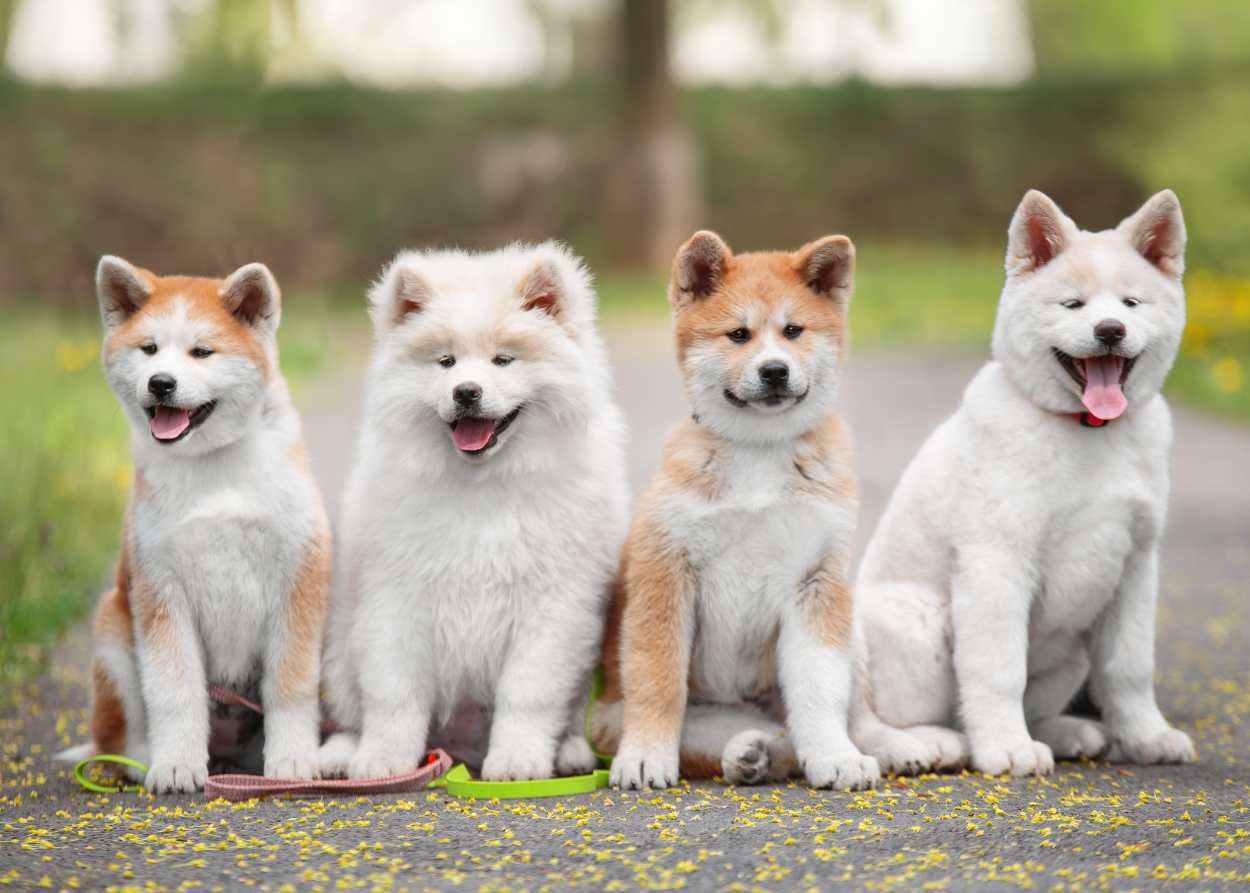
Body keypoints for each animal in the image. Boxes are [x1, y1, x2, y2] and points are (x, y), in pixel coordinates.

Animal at [86, 257, 332, 795]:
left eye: (201, 351)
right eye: (149, 349)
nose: (161, 382)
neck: (213, 466)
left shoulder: (297, 581)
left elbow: (289, 686)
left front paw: (293, 760)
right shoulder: (160, 591)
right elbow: (175, 690)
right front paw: (176, 764)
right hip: (113, 631)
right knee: (116, 739)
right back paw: (143, 761)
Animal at [317, 240, 630, 775]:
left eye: (503, 360)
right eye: (445, 362)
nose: (467, 391)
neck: (483, 481)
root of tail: (459, 748)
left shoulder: (553, 608)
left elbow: (527, 694)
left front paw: (518, 762)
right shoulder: (395, 599)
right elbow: (394, 695)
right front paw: (383, 760)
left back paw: (567, 753)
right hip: (340, 648)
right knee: (350, 716)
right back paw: (341, 754)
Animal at [592, 227, 880, 785]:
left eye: (793, 331)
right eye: (738, 335)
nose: (774, 371)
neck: (758, 453)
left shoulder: (817, 583)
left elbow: (820, 694)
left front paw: (834, 756)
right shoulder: (665, 572)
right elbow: (658, 682)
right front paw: (645, 756)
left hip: (849, 624)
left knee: (850, 717)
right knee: (717, 741)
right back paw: (747, 753)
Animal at [855, 191, 1195, 775]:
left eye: (1130, 304)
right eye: (1072, 305)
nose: (1110, 331)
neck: (1087, 429)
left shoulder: (1135, 566)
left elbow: (1129, 668)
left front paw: (1148, 737)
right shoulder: (997, 563)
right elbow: (998, 671)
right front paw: (1005, 748)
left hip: (1071, 649)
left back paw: (1066, 732)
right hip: (917, 620)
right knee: (869, 717)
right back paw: (927, 744)